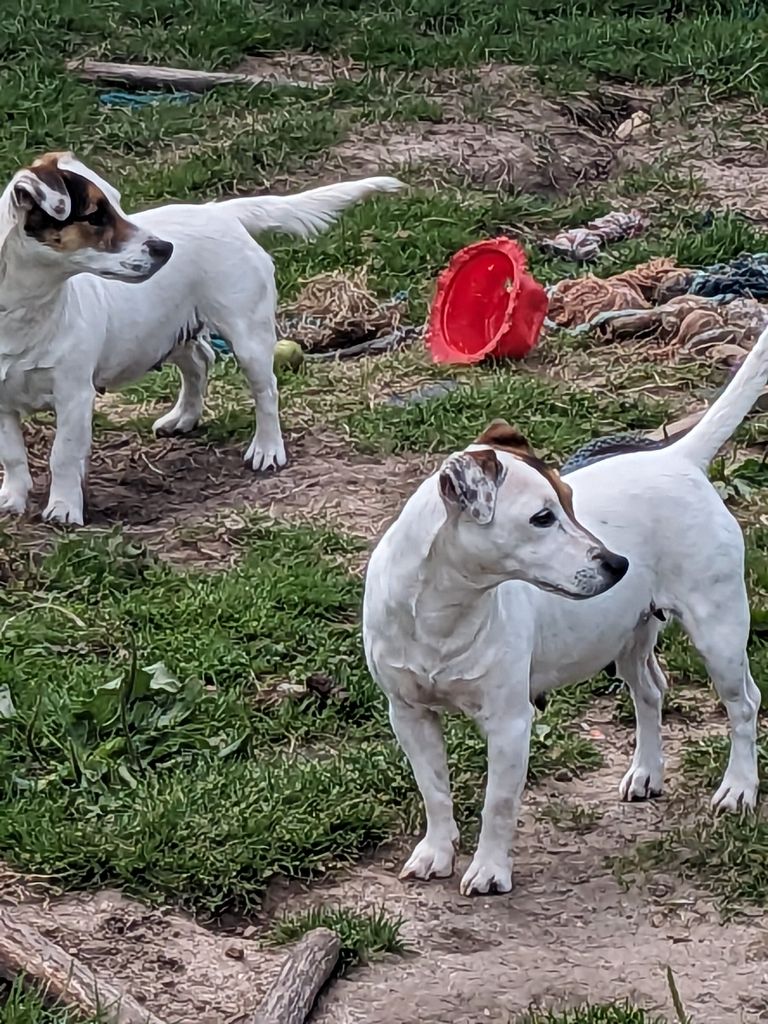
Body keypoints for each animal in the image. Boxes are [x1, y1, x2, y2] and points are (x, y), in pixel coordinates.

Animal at [0, 155, 405, 524]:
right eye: (96, 216)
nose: (165, 249)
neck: (29, 311)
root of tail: (220, 212)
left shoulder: (74, 395)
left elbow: (64, 455)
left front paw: (63, 509)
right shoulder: (3, 405)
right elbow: (12, 455)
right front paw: (13, 499)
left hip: (248, 336)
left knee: (266, 391)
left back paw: (267, 448)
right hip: (168, 331)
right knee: (199, 362)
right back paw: (184, 416)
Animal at [364, 329, 765, 897]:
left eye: (570, 500)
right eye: (542, 517)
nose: (618, 564)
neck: (445, 613)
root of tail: (680, 457)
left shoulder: (510, 722)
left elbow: (498, 803)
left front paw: (490, 870)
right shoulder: (409, 715)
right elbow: (434, 790)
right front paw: (436, 852)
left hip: (719, 631)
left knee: (744, 705)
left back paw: (739, 788)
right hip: (629, 634)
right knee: (651, 692)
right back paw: (647, 772)